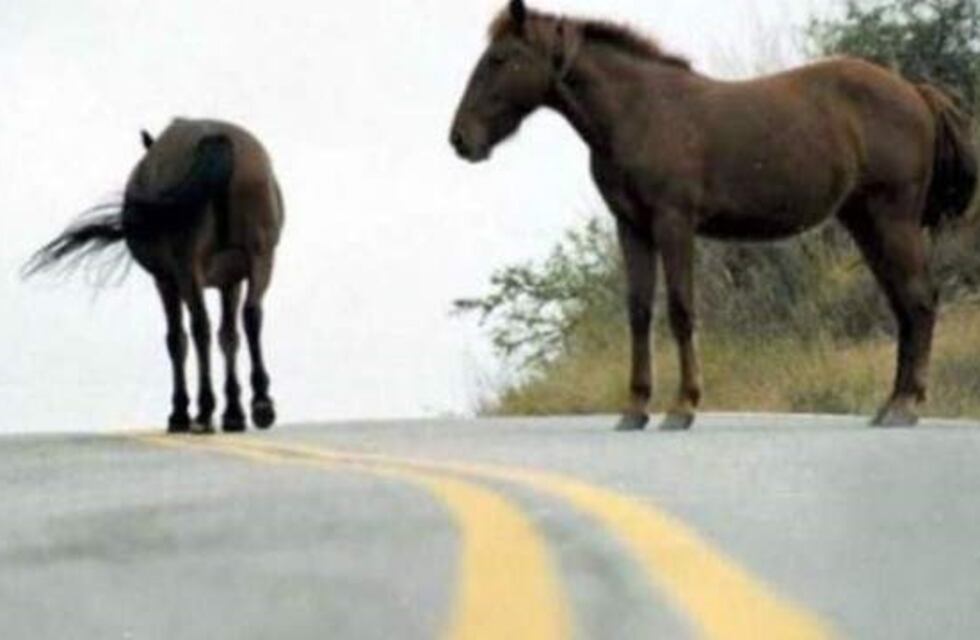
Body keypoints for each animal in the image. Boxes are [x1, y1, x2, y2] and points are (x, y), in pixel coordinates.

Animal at [25, 118, 284, 434]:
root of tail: (216, 139)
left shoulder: (166, 280)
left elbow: (176, 339)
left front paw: (180, 412)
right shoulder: (230, 281)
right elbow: (229, 337)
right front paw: (233, 412)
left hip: (187, 268)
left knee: (199, 327)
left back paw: (203, 410)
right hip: (261, 255)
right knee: (250, 314)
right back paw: (261, 403)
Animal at [450, 0, 978, 431]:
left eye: (500, 59)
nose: (460, 139)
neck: (640, 110)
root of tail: (915, 92)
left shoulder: (674, 224)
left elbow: (681, 309)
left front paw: (682, 407)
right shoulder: (632, 228)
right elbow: (638, 312)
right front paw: (635, 409)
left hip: (893, 219)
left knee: (919, 301)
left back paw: (905, 406)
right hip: (865, 222)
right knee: (904, 304)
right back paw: (890, 405)